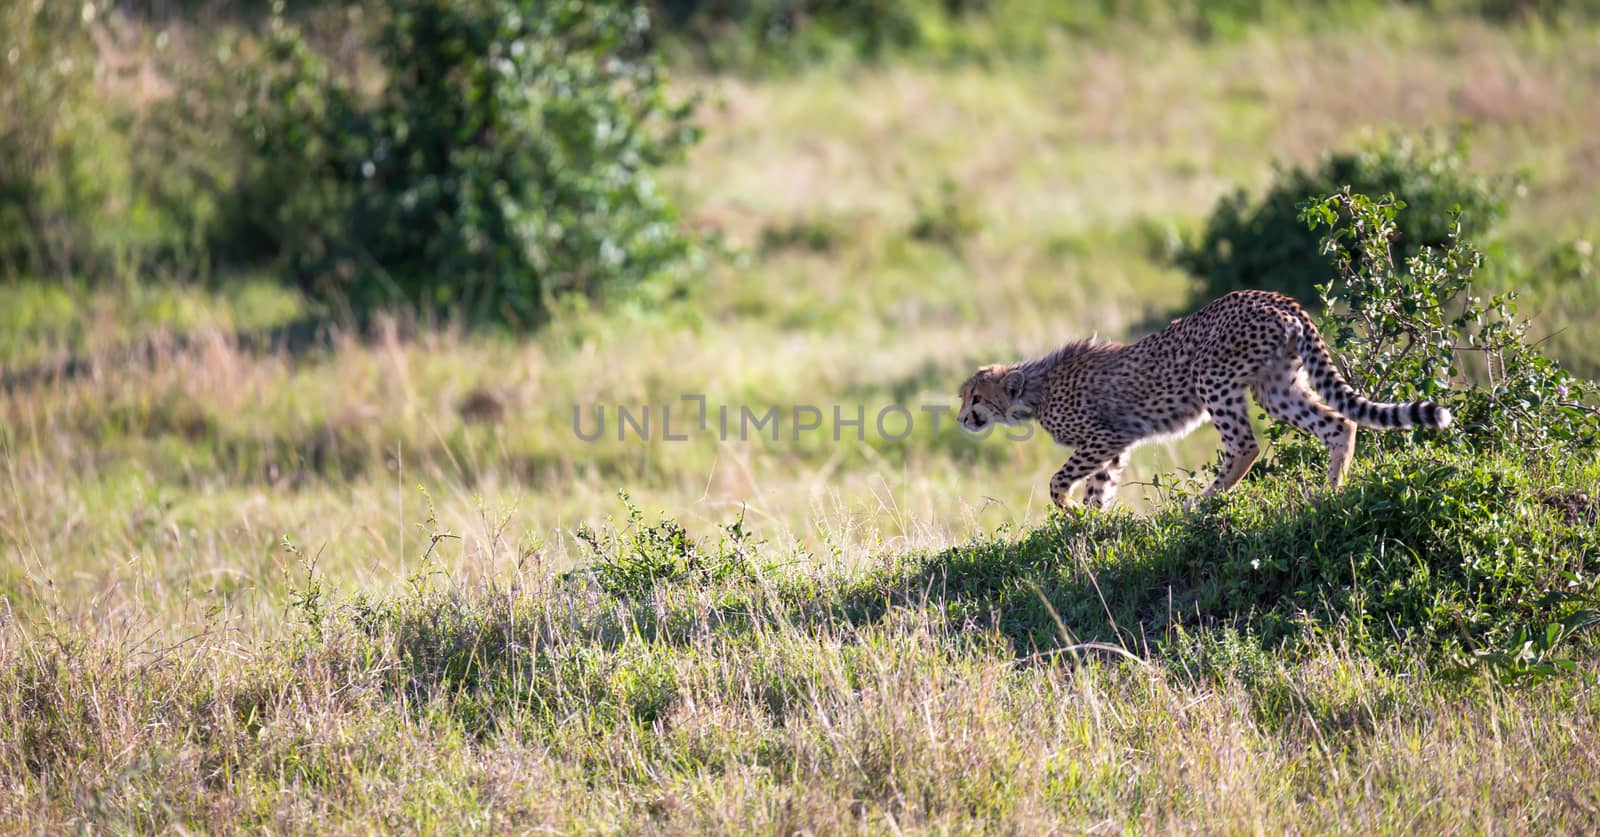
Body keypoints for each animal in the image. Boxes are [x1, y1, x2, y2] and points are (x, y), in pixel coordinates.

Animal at [953, 288, 1459, 512]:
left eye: (975, 396)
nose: (961, 420)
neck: (1035, 390)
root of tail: (1275, 296)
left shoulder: (1103, 436)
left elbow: (1059, 480)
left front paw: (1073, 512)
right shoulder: (1115, 446)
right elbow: (1102, 485)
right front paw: (1097, 521)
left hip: (1212, 378)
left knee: (1246, 445)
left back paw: (1202, 502)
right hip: (1277, 386)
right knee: (1340, 423)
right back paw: (1329, 491)